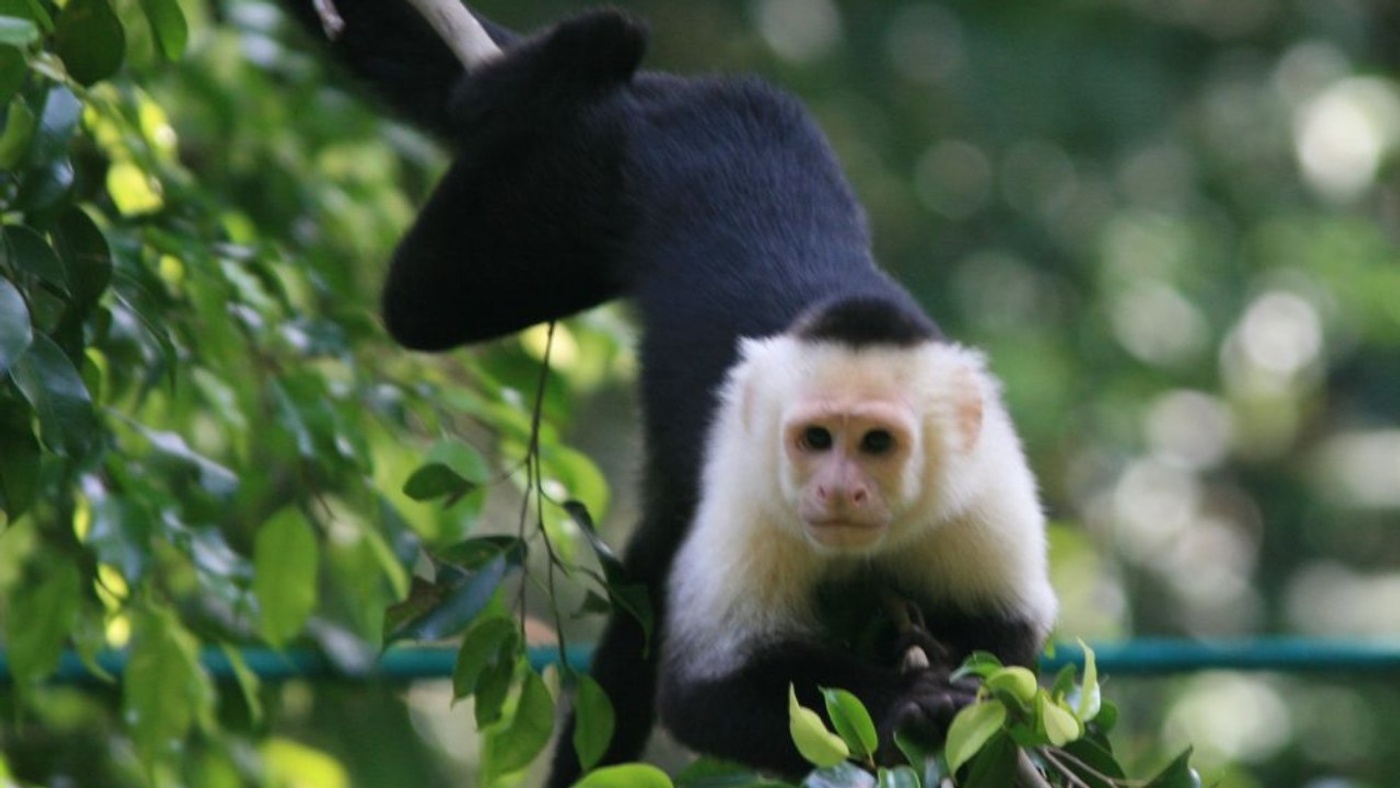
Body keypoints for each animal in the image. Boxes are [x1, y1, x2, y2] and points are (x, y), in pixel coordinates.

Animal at [278, 0, 1052, 783]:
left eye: (877, 443)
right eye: (814, 440)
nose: (838, 489)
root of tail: (671, 99)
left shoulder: (985, 490)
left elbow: (1008, 640)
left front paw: (934, 669)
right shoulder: (754, 493)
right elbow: (705, 696)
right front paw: (909, 702)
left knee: (649, 573)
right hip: (578, 177)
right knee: (418, 305)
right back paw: (575, 59)